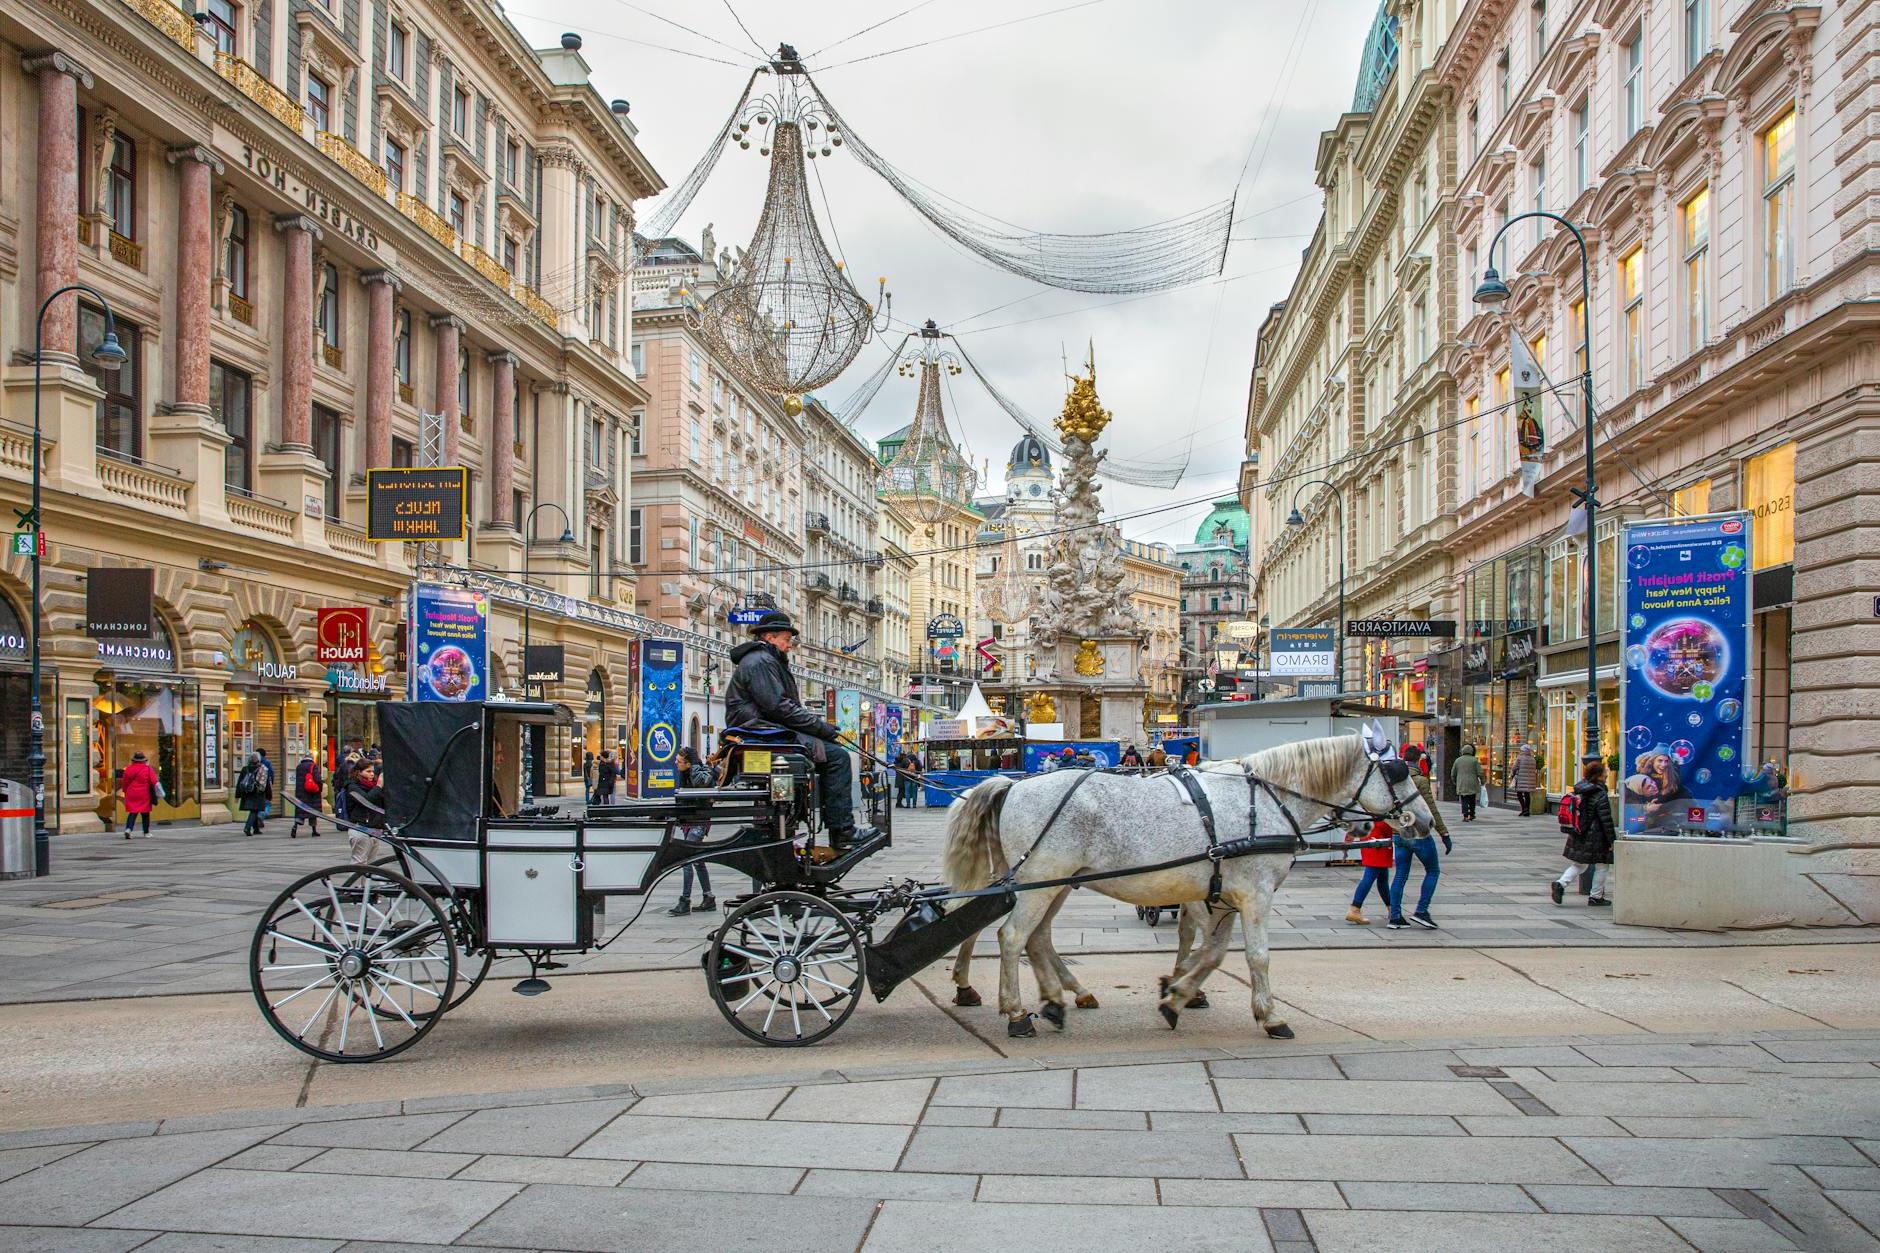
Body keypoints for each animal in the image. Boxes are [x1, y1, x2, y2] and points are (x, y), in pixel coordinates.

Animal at [940, 733, 1421, 1030]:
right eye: (1398, 772)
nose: (1424, 822)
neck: (1264, 800)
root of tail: (1012, 785)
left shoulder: (1221, 894)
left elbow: (1209, 950)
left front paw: (1177, 993)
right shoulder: (1255, 893)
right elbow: (1255, 956)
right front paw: (1269, 1016)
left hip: (1049, 883)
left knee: (1035, 937)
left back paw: (1059, 999)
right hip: (1039, 881)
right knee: (1011, 936)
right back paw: (1016, 1013)